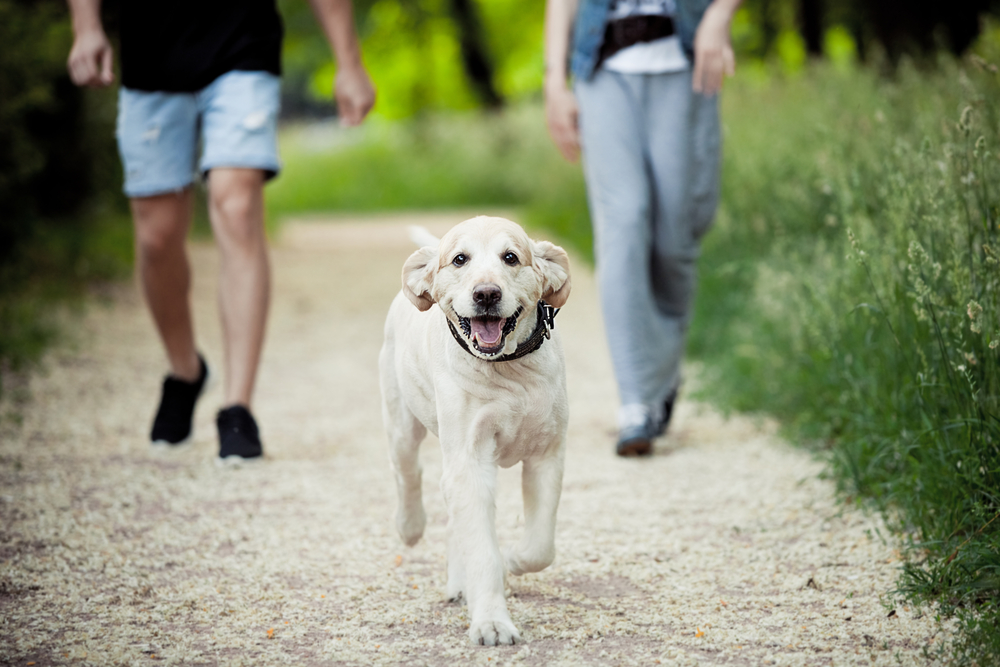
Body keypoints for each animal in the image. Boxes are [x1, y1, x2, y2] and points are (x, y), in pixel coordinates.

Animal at [376, 217, 572, 644]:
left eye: (510, 257)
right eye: (459, 260)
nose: (486, 294)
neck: (509, 371)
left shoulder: (546, 455)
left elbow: (541, 547)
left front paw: (513, 559)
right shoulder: (469, 458)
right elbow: (482, 551)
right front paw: (492, 623)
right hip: (402, 424)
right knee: (407, 474)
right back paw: (410, 527)